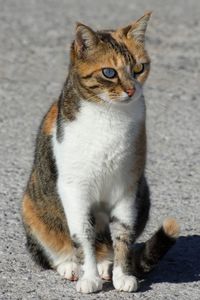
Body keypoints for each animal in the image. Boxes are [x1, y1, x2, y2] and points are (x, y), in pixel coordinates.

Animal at [22, 12, 180, 294]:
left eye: (138, 68)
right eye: (109, 72)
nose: (132, 90)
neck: (109, 117)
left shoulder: (127, 187)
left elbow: (122, 234)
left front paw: (121, 274)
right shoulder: (74, 189)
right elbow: (82, 235)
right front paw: (88, 277)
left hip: (144, 194)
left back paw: (106, 264)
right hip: (30, 207)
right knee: (56, 250)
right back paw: (71, 266)